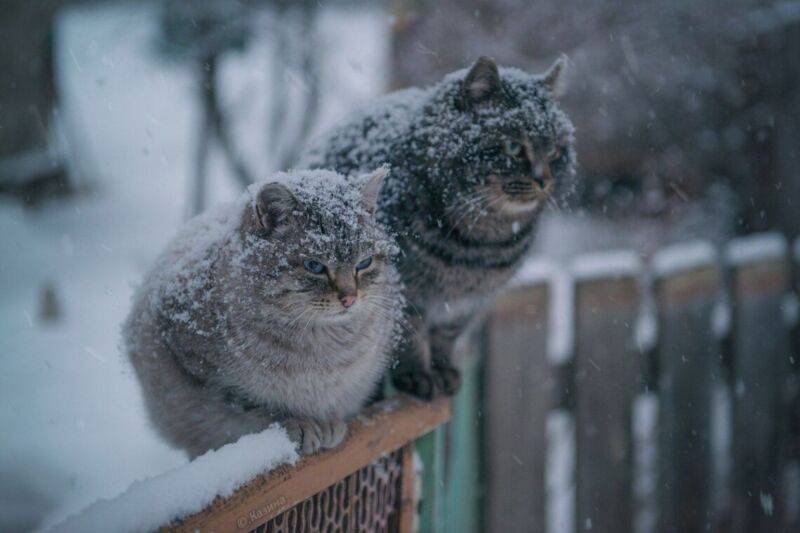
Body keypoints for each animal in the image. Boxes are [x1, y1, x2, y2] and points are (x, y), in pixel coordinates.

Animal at [122, 167, 404, 458]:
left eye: (364, 263)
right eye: (314, 266)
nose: (349, 299)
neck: (321, 344)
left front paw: (326, 423)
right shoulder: (202, 371)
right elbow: (254, 406)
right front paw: (300, 423)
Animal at [300, 57, 576, 400]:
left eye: (553, 150)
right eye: (513, 146)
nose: (544, 179)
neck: (481, 245)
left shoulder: (468, 302)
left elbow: (446, 336)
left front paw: (443, 371)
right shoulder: (405, 291)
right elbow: (410, 336)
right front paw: (418, 376)